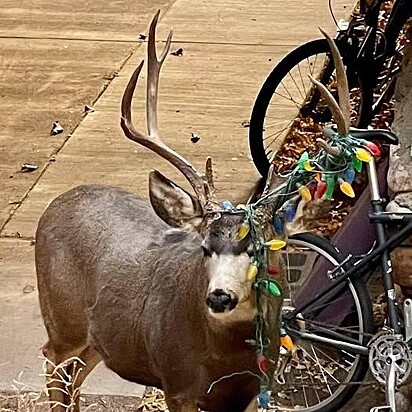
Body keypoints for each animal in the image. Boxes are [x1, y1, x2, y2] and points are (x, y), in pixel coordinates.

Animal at [35, 11, 282, 410]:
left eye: (258, 249)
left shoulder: (258, 388)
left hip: (101, 341)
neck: (226, 364)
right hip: (63, 319)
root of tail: (56, 202)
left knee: (73, 379)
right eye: (204, 248)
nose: (219, 296)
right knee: (52, 363)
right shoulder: (177, 382)